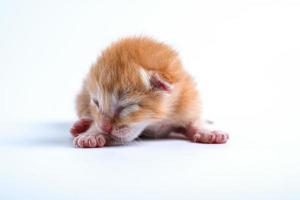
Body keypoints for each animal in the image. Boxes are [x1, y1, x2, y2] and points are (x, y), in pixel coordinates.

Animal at [71, 36, 230, 148]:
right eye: (96, 103)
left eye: (126, 106)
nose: (104, 127)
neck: (155, 121)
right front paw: (92, 133)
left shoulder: (187, 100)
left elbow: (194, 121)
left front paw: (207, 131)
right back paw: (81, 125)